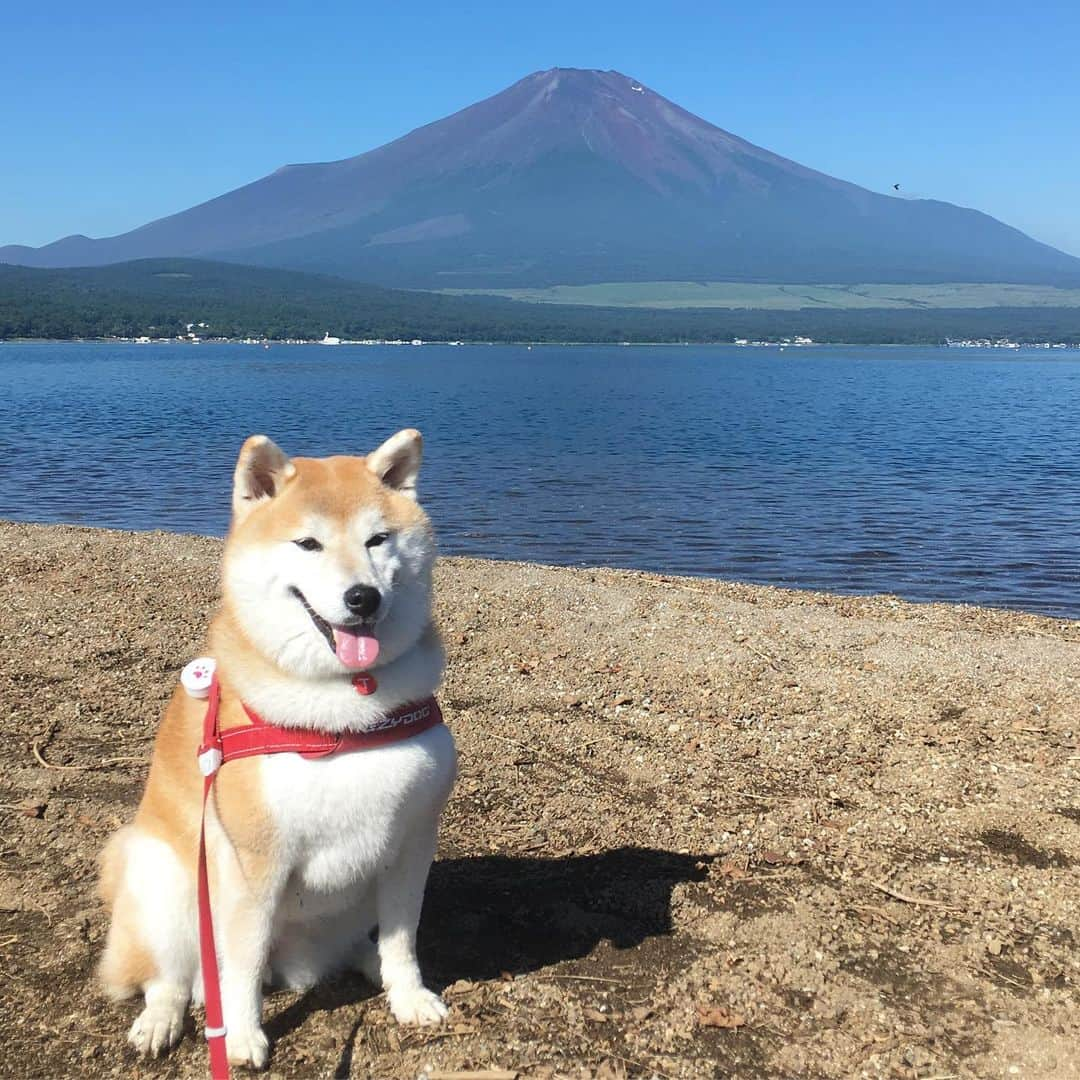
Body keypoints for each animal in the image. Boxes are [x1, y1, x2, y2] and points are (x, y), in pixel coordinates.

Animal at [97, 432, 455, 1071]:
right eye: (308, 543)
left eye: (378, 539)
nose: (362, 597)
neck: (343, 708)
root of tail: (299, 965)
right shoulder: (256, 861)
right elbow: (240, 965)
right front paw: (241, 1036)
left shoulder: (412, 843)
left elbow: (402, 938)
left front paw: (408, 995)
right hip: (165, 875)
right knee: (172, 977)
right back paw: (162, 1020)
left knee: (357, 945)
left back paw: (366, 964)